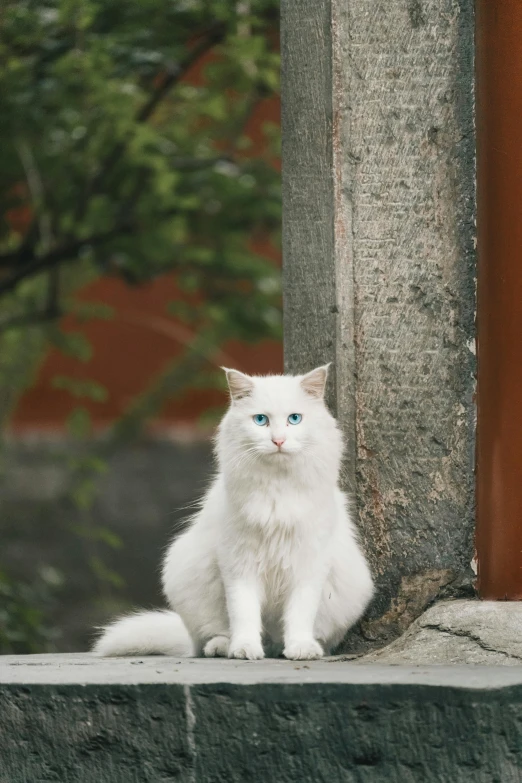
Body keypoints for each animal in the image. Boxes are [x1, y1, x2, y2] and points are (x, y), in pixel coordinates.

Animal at [92, 368, 370, 660]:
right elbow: (244, 613)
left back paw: (293, 647)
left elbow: (300, 613)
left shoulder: (309, 564)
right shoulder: (239, 563)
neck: (277, 488)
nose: (278, 441)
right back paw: (225, 647)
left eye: (294, 419)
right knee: (209, 638)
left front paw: (300, 648)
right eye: (261, 420)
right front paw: (245, 649)